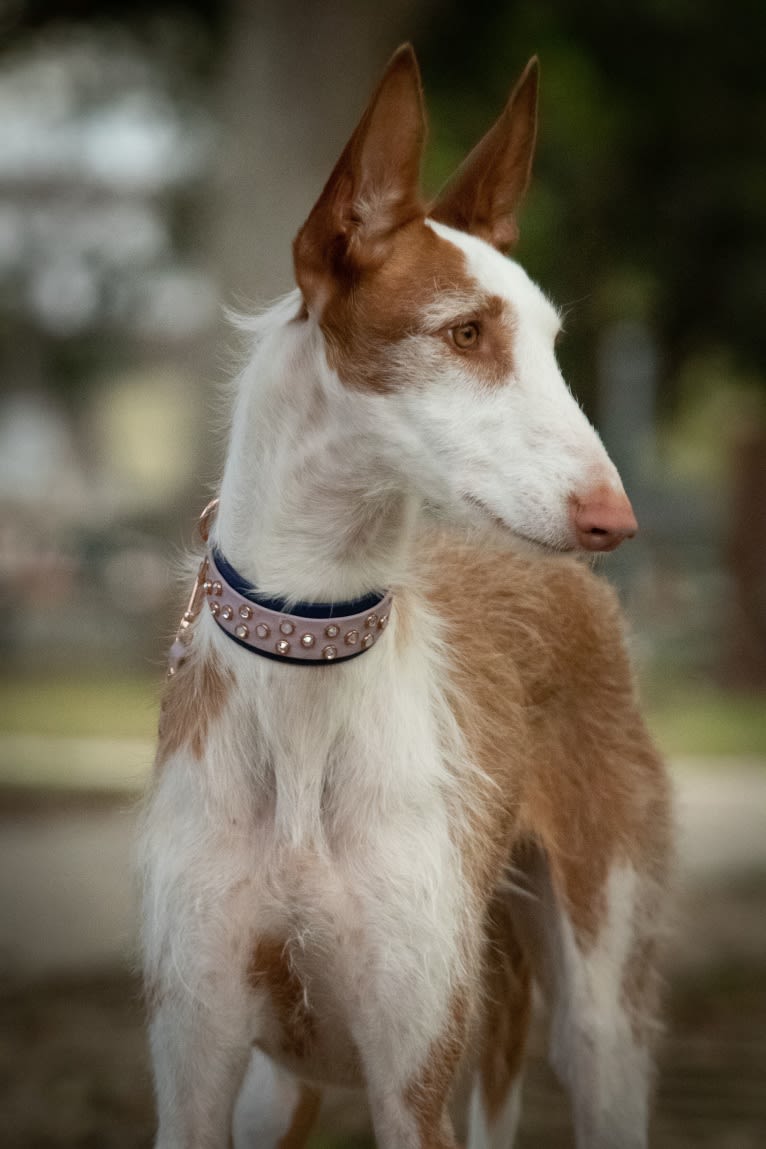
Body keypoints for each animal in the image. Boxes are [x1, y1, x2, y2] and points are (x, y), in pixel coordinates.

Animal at [140, 44, 675, 1149]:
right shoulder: (195, 1062)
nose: (616, 519)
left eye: (552, 344)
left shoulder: (411, 1077)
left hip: (598, 1010)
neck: (307, 673)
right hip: (278, 1090)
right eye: (464, 332)